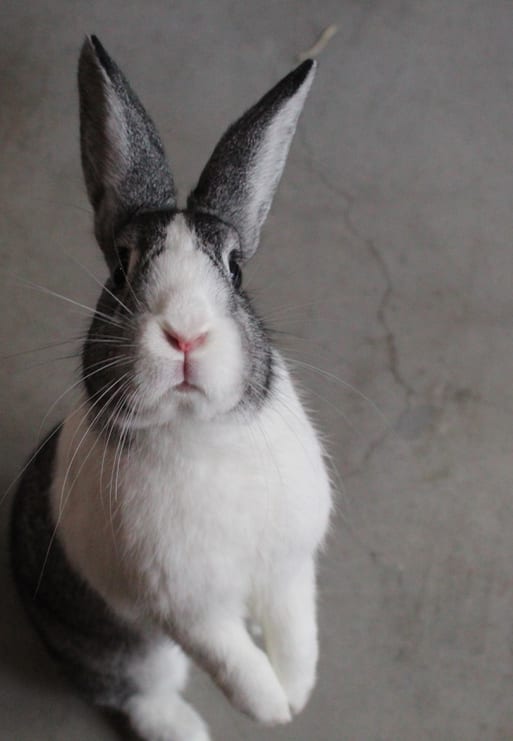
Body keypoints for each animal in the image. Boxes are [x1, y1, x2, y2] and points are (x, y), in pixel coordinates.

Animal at [10, 36, 332, 741]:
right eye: (122, 268)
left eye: (235, 270)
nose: (186, 333)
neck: (202, 433)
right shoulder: (186, 609)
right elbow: (233, 661)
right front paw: (271, 709)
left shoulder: (289, 566)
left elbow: (296, 630)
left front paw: (298, 693)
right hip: (127, 647)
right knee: (141, 695)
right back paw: (186, 730)